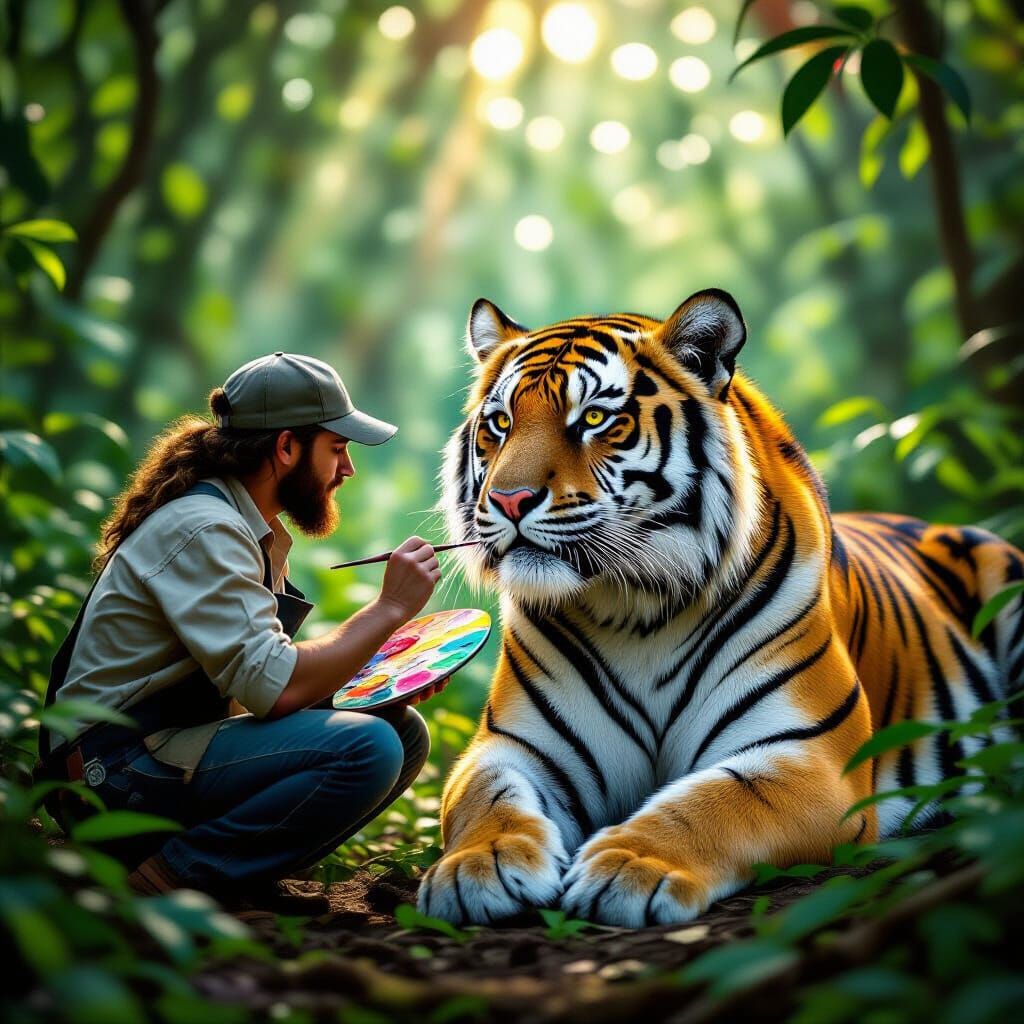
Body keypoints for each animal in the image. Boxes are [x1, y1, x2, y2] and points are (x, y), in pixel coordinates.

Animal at [417, 288, 1024, 928]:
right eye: (501, 423)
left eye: (594, 419)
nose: (509, 500)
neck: (635, 612)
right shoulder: (513, 747)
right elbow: (489, 800)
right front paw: (476, 866)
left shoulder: (810, 756)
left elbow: (716, 801)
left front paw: (631, 865)